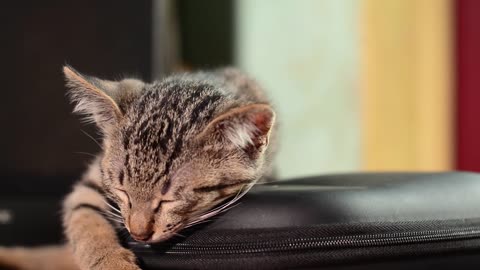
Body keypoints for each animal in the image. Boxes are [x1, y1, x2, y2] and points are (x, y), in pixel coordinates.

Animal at [0, 66, 278, 270]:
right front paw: (111, 263)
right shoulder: (91, 182)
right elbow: (85, 220)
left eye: (169, 200)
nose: (138, 234)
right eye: (122, 191)